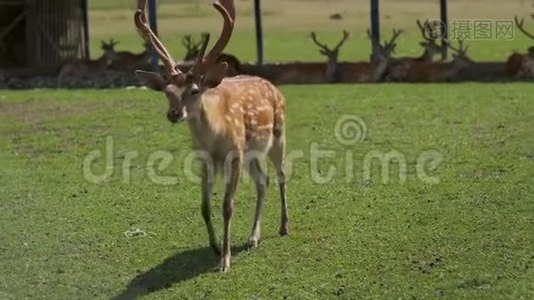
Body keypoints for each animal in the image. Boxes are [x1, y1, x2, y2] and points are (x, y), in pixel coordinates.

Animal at [133, 0, 288, 272]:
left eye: (195, 90)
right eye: (167, 91)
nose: (174, 113)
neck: (214, 140)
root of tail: (273, 86)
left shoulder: (235, 155)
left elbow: (227, 206)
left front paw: (225, 260)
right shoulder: (204, 160)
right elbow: (205, 206)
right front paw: (215, 247)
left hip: (278, 135)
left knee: (281, 174)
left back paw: (283, 227)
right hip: (252, 153)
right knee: (263, 180)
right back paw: (253, 237)